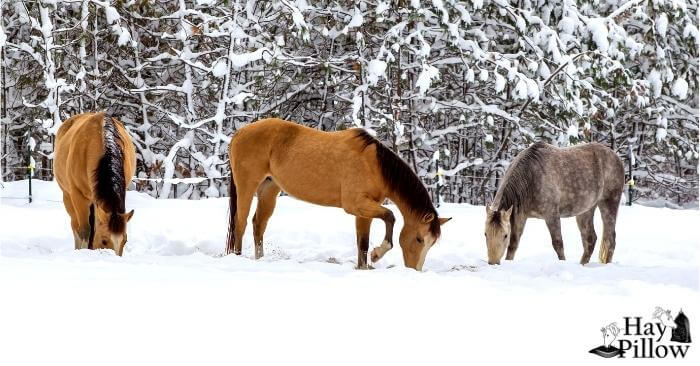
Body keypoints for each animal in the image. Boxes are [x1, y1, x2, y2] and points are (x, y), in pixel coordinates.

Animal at [54, 111, 136, 254]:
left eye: (125, 241)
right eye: (104, 241)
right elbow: (84, 231)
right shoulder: (78, 196)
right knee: (75, 226)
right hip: (68, 197)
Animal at [227, 118, 452, 270]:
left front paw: (364, 266)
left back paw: (260, 259)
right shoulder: (356, 205)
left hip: (269, 190)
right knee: (240, 222)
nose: (415, 270)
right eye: (419, 239)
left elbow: (362, 243)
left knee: (258, 224)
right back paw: (237, 257)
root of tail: (239, 133)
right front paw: (377, 254)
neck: (373, 165)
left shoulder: (364, 211)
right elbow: (390, 216)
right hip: (247, 186)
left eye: (431, 243)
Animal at [484, 142, 628, 264]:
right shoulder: (520, 215)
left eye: (504, 235)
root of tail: (616, 157)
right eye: (485, 234)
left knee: (610, 239)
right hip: (586, 210)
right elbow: (513, 244)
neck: (531, 177)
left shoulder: (551, 215)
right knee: (590, 239)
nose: (493, 263)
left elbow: (558, 243)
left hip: (609, 203)